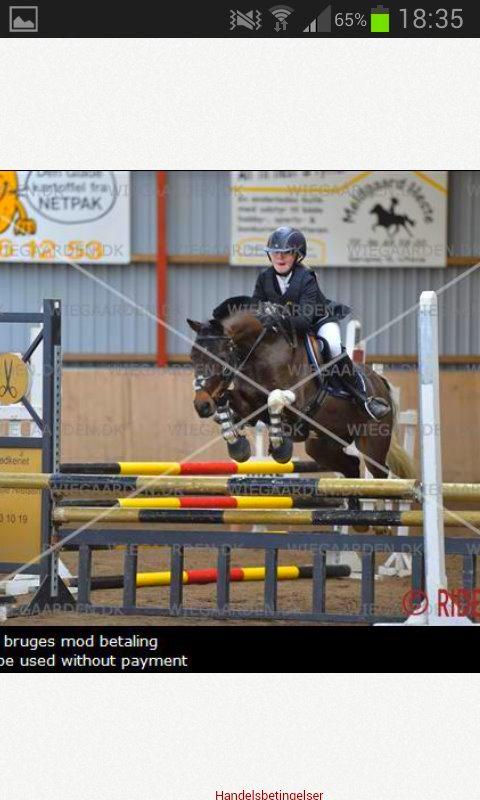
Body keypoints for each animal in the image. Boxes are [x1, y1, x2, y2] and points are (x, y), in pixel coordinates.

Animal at [187, 303, 415, 484]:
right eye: (193, 356)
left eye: (222, 357)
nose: (201, 405)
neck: (263, 353)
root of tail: (380, 382)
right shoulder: (248, 404)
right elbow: (228, 399)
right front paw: (236, 444)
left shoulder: (297, 406)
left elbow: (275, 398)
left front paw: (280, 448)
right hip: (320, 445)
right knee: (350, 466)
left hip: (373, 442)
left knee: (380, 473)